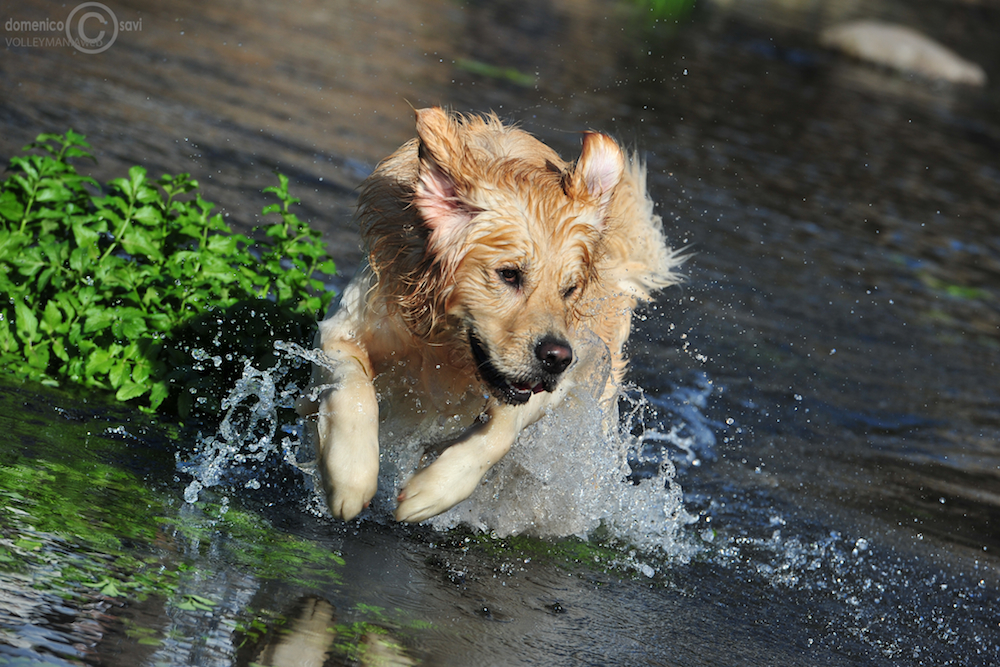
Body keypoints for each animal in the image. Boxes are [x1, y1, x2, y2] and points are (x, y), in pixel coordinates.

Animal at [294, 108, 680, 520]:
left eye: (569, 290)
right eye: (508, 274)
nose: (555, 357)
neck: (444, 346)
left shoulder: (567, 374)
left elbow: (502, 428)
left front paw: (435, 488)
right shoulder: (347, 324)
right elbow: (353, 389)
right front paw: (350, 475)